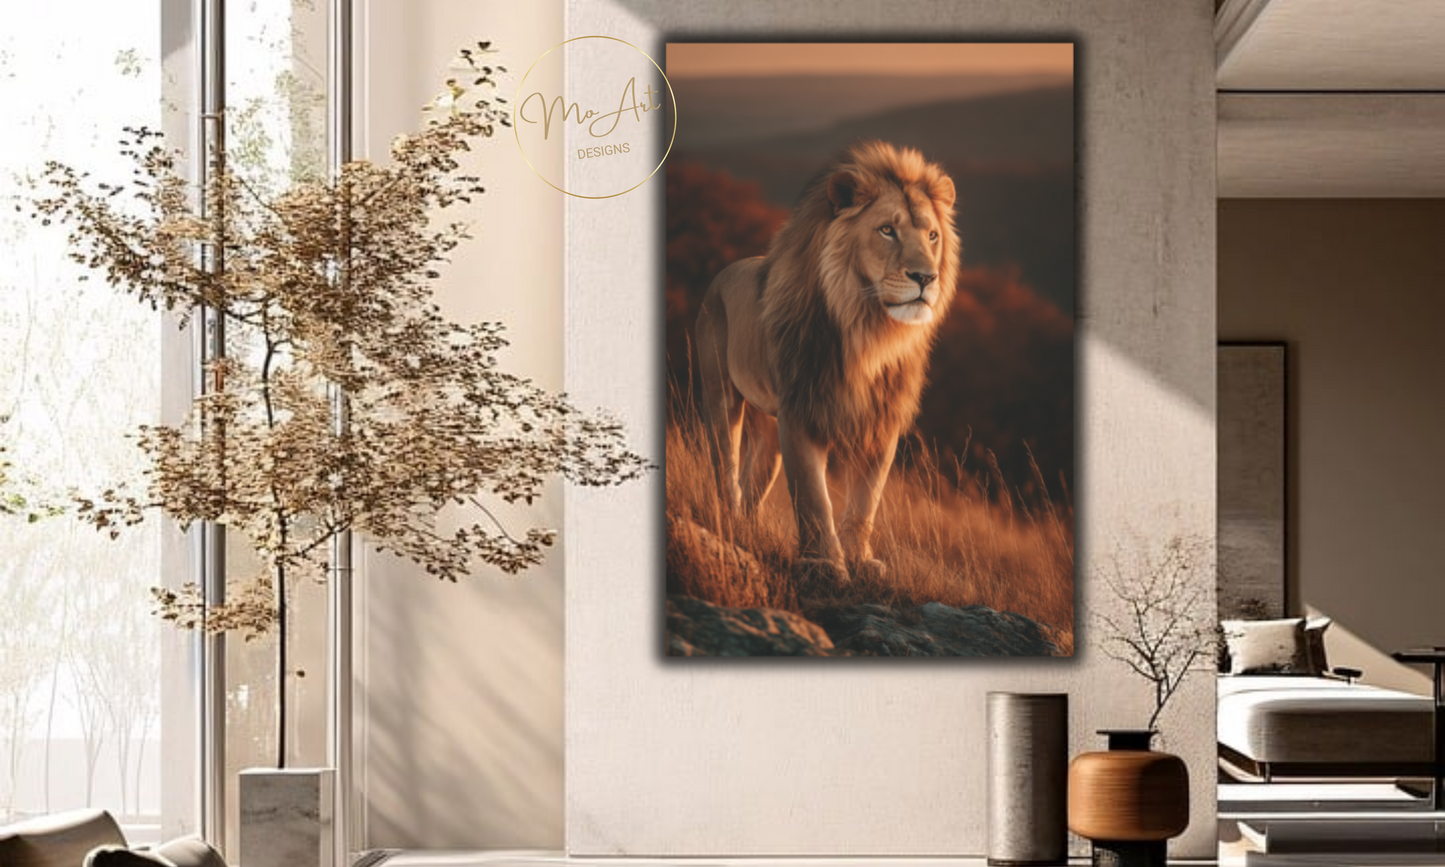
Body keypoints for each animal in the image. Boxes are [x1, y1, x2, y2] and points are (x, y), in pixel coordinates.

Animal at [695, 140, 959, 586]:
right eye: (887, 230)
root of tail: (722, 272)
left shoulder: (879, 424)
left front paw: (861, 561)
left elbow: (866, 501)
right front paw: (825, 566)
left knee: (756, 473)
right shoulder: (801, 411)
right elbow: (812, 496)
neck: (869, 333)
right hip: (721, 397)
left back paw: (750, 527)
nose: (926, 278)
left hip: (770, 424)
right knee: (725, 464)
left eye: (932, 235)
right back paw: (729, 521)